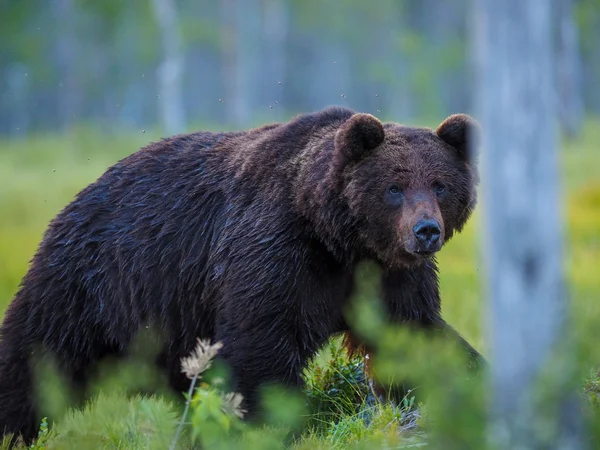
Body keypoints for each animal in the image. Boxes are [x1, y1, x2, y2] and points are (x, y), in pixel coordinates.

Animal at [0, 105, 482, 442]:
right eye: (394, 188)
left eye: (440, 185)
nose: (426, 230)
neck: (338, 238)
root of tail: (80, 195)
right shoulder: (275, 251)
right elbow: (261, 341)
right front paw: (284, 422)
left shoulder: (388, 276)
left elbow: (414, 333)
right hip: (95, 282)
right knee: (38, 353)